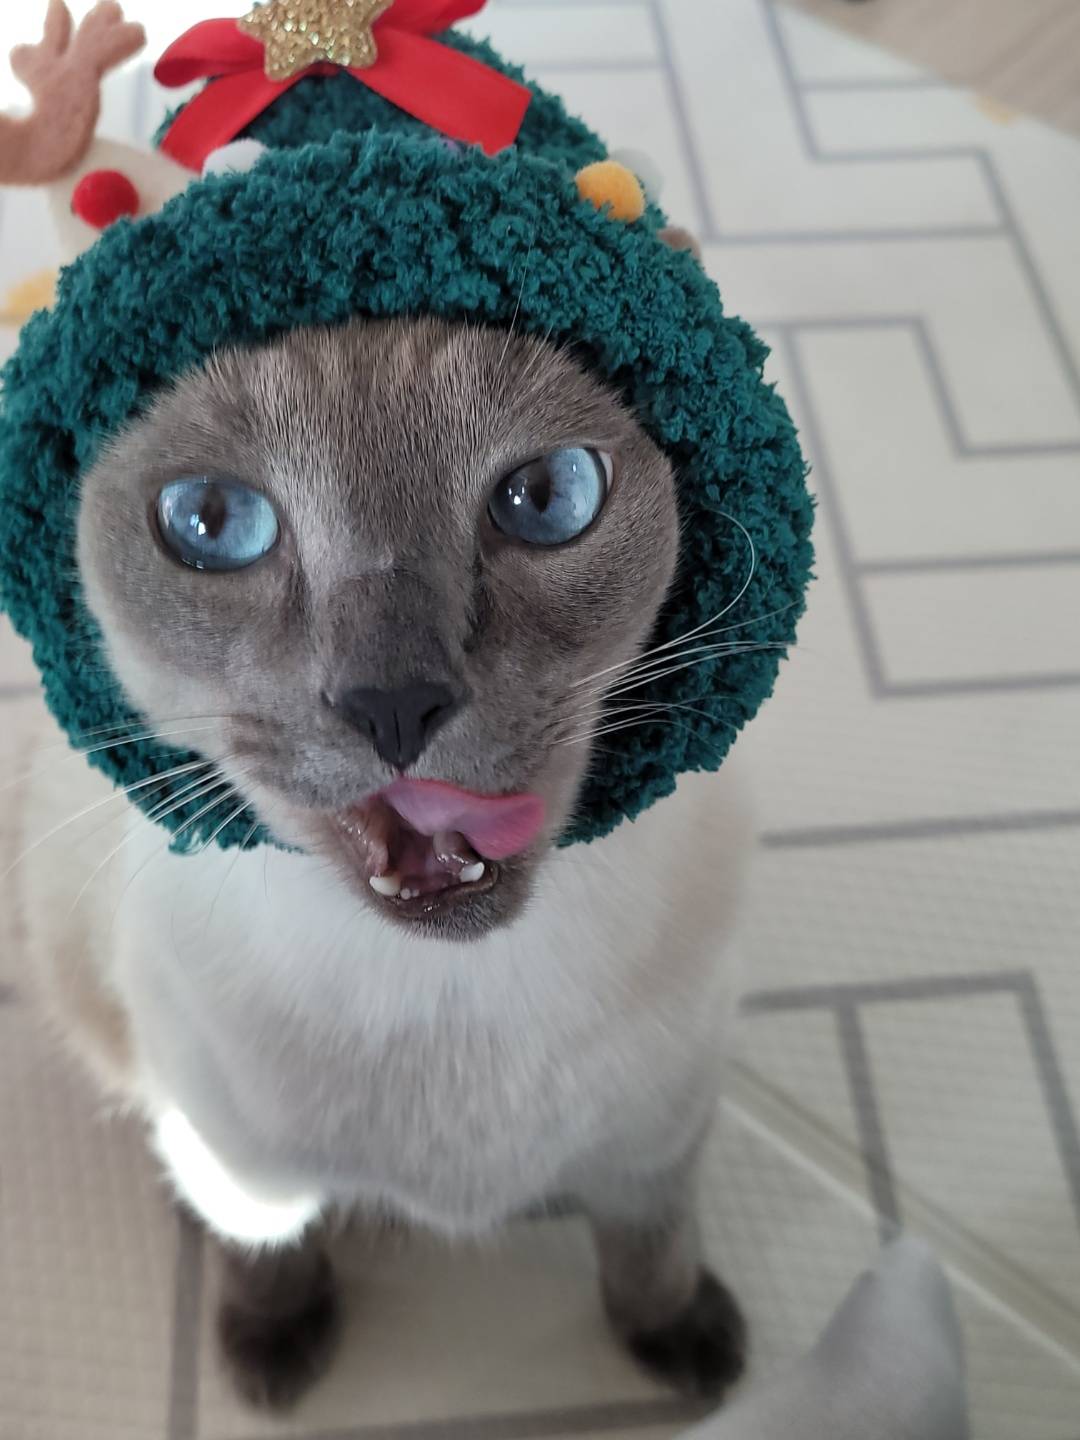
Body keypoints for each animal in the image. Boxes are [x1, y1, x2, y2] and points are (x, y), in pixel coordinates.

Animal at [17, 314, 754, 1409]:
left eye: (547, 498)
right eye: (212, 521)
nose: (395, 702)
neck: (449, 997)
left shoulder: (659, 1125)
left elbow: (650, 1245)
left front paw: (688, 1352)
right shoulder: (241, 1159)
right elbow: (264, 1241)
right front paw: (273, 1347)